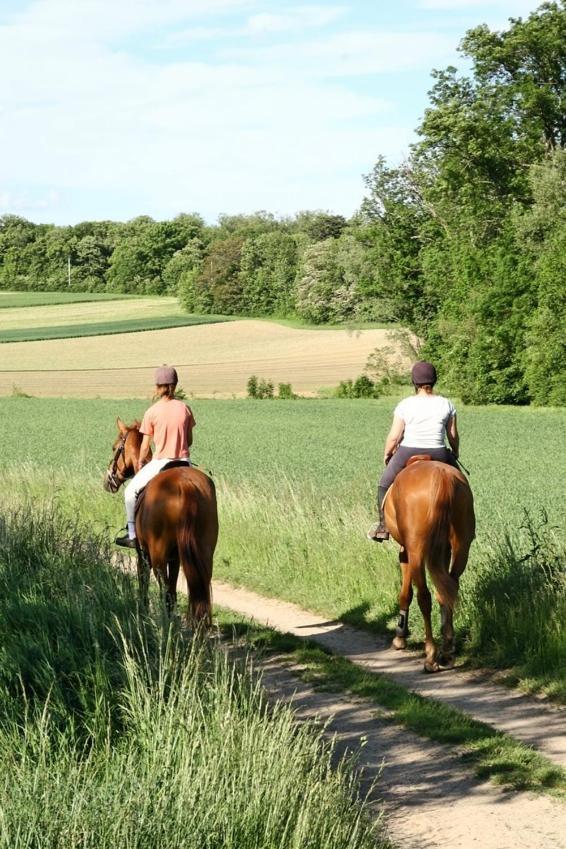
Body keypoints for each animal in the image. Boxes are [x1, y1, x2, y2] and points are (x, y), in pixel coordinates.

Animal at [103, 418, 219, 624]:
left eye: (115, 447)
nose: (108, 481)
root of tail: (186, 486)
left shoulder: (143, 554)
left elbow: (144, 583)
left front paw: (143, 612)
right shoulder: (176, 558)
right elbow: (173, 590)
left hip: (158, 555)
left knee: (164, 591)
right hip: (204, 552)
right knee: (197, 589)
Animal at [386, 454, 474, 672]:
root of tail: (442, 477)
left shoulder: (406, 551)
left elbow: (406, 593)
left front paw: (400, 636)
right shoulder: (443, 550)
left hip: (417, 549)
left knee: (424, 597)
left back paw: (431, 656)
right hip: (461, 545)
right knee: (449, 589)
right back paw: (447, 651)